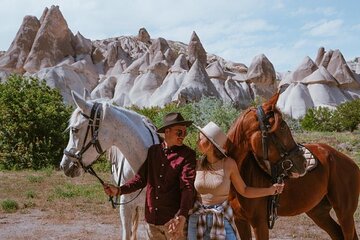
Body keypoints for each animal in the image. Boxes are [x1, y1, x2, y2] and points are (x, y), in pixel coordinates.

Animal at [226, 91, 360, 239]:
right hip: (319, 213)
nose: (303, 162)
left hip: (344, 213)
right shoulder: (240, 220)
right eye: (283, 126)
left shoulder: (259, 222)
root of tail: (350, 162)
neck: (242, 176)